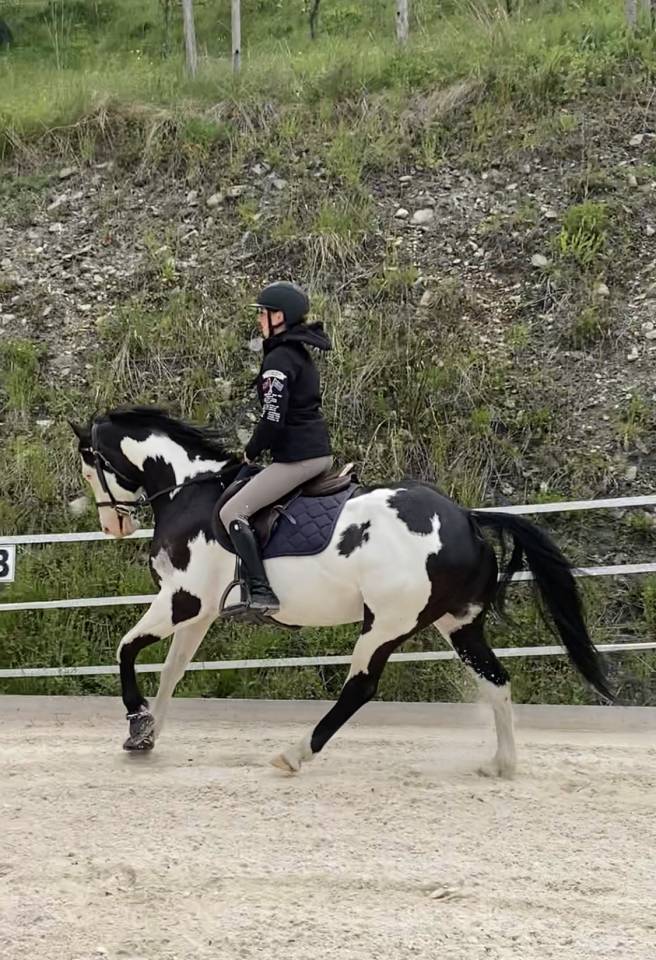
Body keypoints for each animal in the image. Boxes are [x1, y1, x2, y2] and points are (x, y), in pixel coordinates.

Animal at [69, 406, 613, 778]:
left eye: (89, 466)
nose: (112, 525)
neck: (189, 489)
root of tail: (466, 518)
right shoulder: (198, 613)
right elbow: (171, 672)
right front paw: (148, 735)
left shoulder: (184, 599)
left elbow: (125, 649)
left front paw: (136, 722)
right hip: (458, 624)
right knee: (495, 680)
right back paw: (502, 764)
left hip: (386, 623)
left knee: (361, 687)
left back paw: (295, 753)